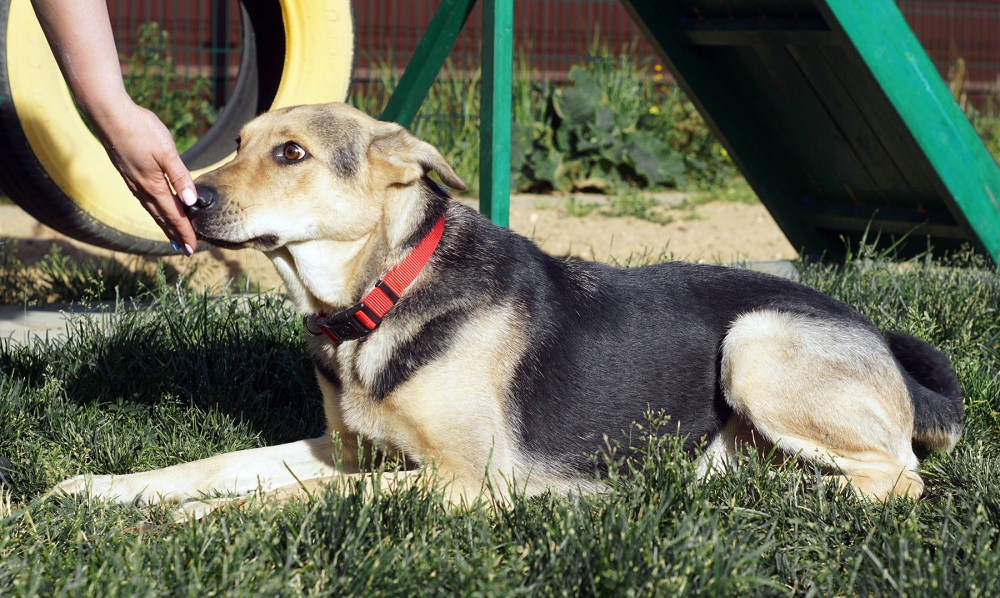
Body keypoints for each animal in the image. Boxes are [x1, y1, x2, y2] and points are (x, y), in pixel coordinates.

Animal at [54, 102, 960, 516]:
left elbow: (284, 500)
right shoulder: (347, 450)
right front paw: (102, 489)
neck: (377, 297)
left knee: (902, 477)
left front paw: (193, 522)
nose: (185, 198)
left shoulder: (461, 481)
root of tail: (883, 343)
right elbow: (212, 465)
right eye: (238, 143)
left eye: (291, 153)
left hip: (755, 342)